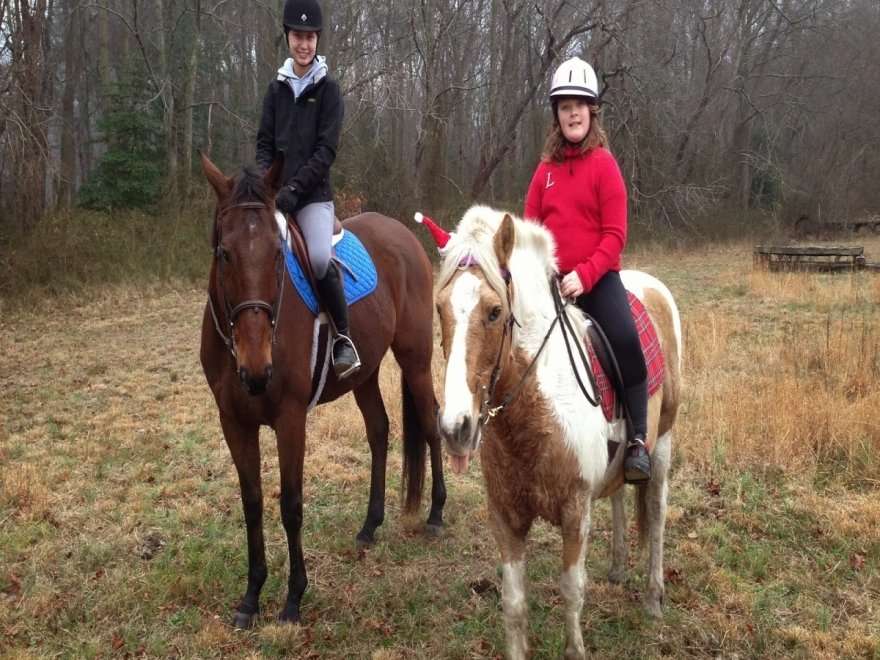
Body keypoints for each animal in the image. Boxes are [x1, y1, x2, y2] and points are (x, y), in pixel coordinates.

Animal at [200, 153, 446, 628]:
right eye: (224, 253)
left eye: (278, 254)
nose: (255, 371)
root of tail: (402, 232)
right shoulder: (232, 421)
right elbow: (252, 502)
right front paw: (251, 597)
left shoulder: (290, 418)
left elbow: (291, 504)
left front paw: (294, 599)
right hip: (365, 374)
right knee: (379, 431)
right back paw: (370, 525)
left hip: (416, 358)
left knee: (429, 423)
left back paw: (436, 514)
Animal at [436, 205, 684, 656]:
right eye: (439, 308)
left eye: (495, 312)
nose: (455, 428)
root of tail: (652, 285)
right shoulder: (505, 514)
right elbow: (514, 602)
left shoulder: (574, 510)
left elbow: (572, 590)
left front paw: (575, 650)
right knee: (619, 492)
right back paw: (619, 570)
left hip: (662, 443)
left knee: (656, 511)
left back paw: (653, 598)